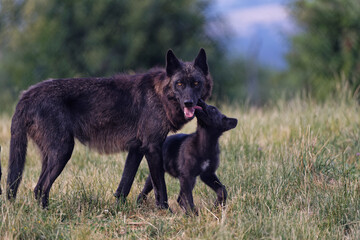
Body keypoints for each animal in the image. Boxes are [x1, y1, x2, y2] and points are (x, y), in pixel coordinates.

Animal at [6, 47, 211, 207]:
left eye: (196, 83)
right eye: (179, 84)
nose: (188, 103)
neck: (160, 96)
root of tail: (27, 94)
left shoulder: (137, 149)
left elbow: (124, 185)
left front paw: (119, 209)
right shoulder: (152, 148)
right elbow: (160, 187)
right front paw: (165, 212)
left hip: (51, 155)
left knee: (38, 188)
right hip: (63, 151)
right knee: (41, 188)